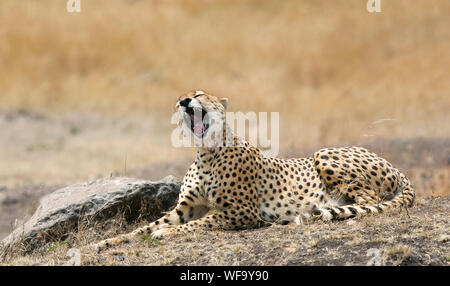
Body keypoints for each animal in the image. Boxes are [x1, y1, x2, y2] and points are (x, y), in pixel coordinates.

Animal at [95, 89, 414, 250]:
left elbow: (201, 222)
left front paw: (167, 234)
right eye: (181, 96)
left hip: (323, 154)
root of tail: (396, 168)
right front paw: (109, 241)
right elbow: (147, 226)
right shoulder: (185, 208)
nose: (184, 101)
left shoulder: (242, 212)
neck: (207, 151)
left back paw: (319, 212)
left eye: (200, 94)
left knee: (370, 201)